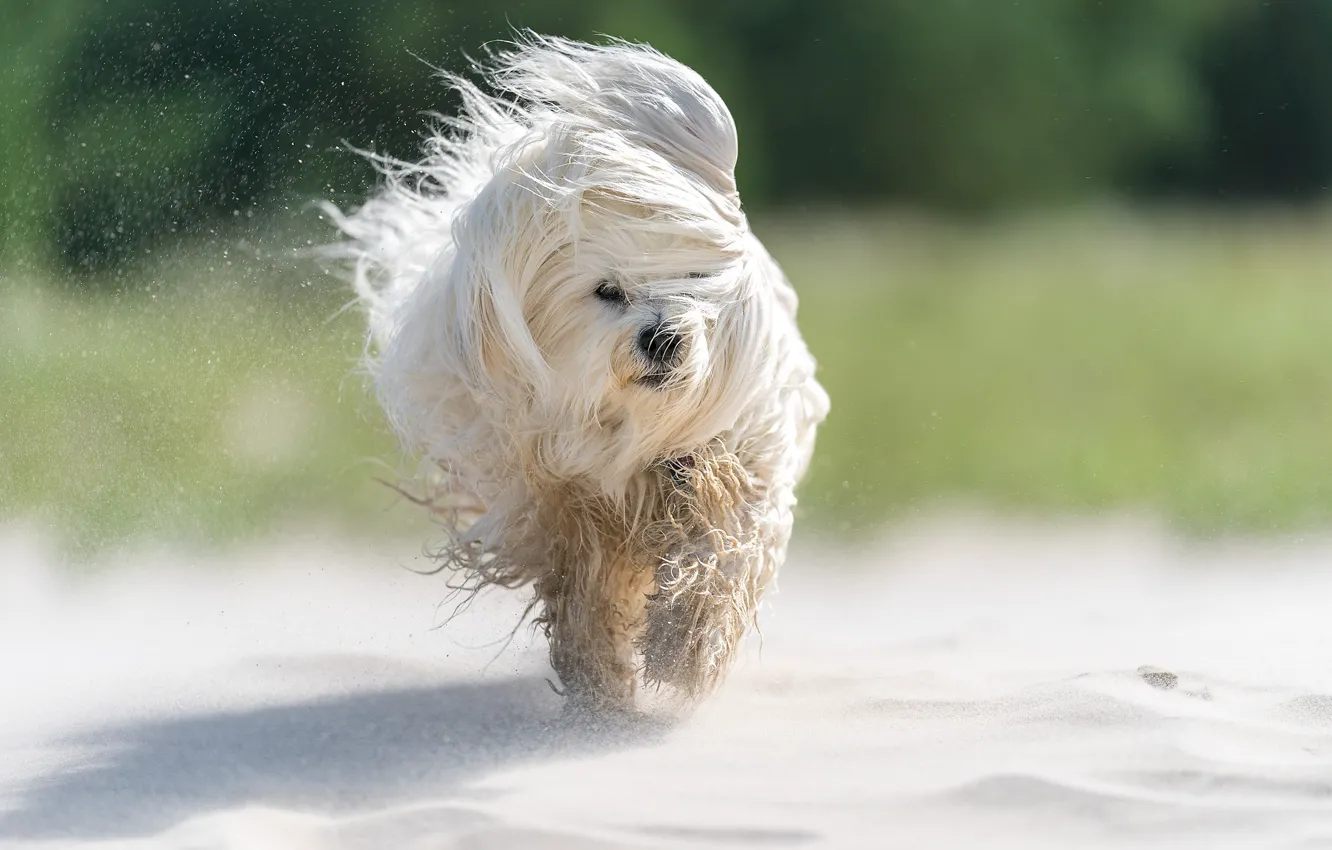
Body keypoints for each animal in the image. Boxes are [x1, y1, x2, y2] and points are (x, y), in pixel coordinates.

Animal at [325, 34, 820, 714]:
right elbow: (585, 592)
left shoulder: (744, 461)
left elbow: (724, 548)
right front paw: (601, 685)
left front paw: (684, 649)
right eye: (608, 291)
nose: (661, 337)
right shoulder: (567, 506)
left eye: (695, 278)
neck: (637, 431)